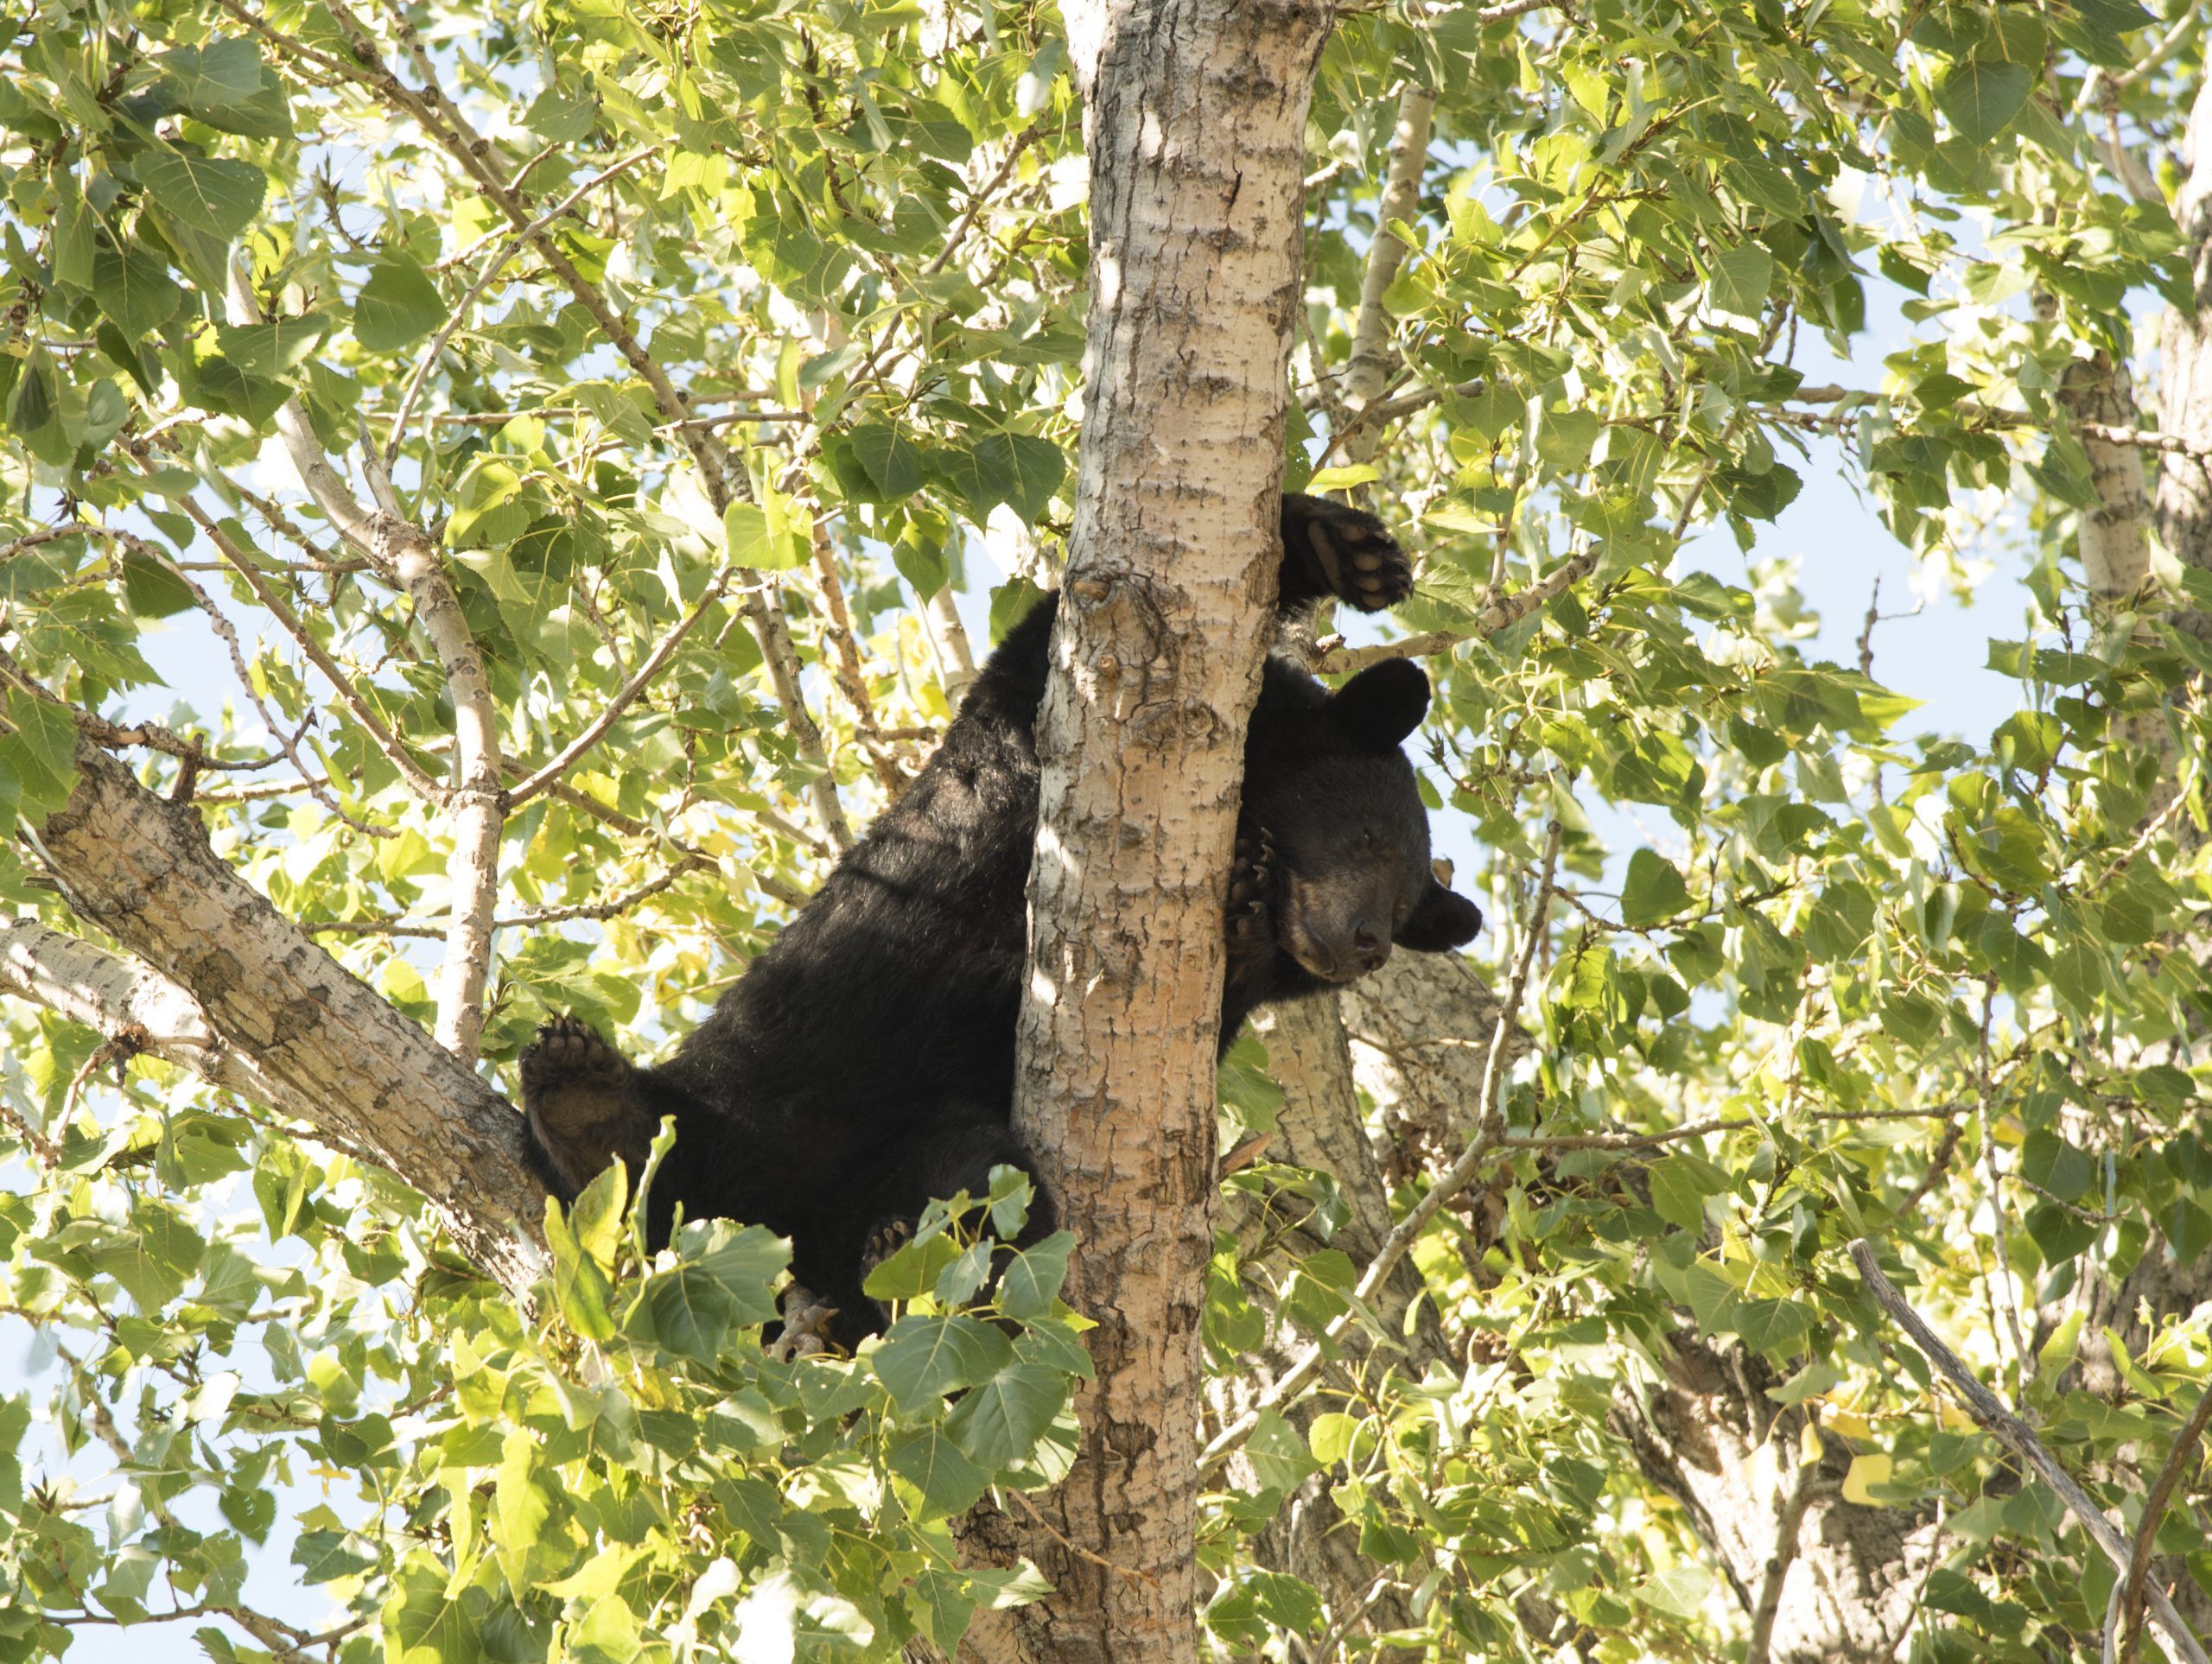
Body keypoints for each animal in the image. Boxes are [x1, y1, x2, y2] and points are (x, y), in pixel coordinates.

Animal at [519, 493, 1478, 1354]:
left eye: (1404, 902)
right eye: (1367, 837)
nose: (1365, 945)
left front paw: (1245, 910)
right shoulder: (1030, 723)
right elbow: (1067, 634)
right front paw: (1346, 549)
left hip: (919, 1145)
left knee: (977, 1181)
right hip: (743, 1082)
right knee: (662, 1167)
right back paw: (590, 1107)